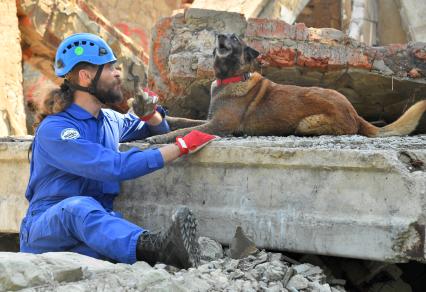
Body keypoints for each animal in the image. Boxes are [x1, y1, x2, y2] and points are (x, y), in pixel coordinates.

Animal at [146, 33, 422, 144]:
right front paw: (166, 118)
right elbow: (183, 121)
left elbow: (182, 132)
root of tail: (354, 112)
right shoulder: (210, 120)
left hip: (306, 123)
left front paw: (157, 137)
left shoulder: (219, 125)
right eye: (223, 35)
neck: (232, 78)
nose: (220, 36)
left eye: (235, 38)